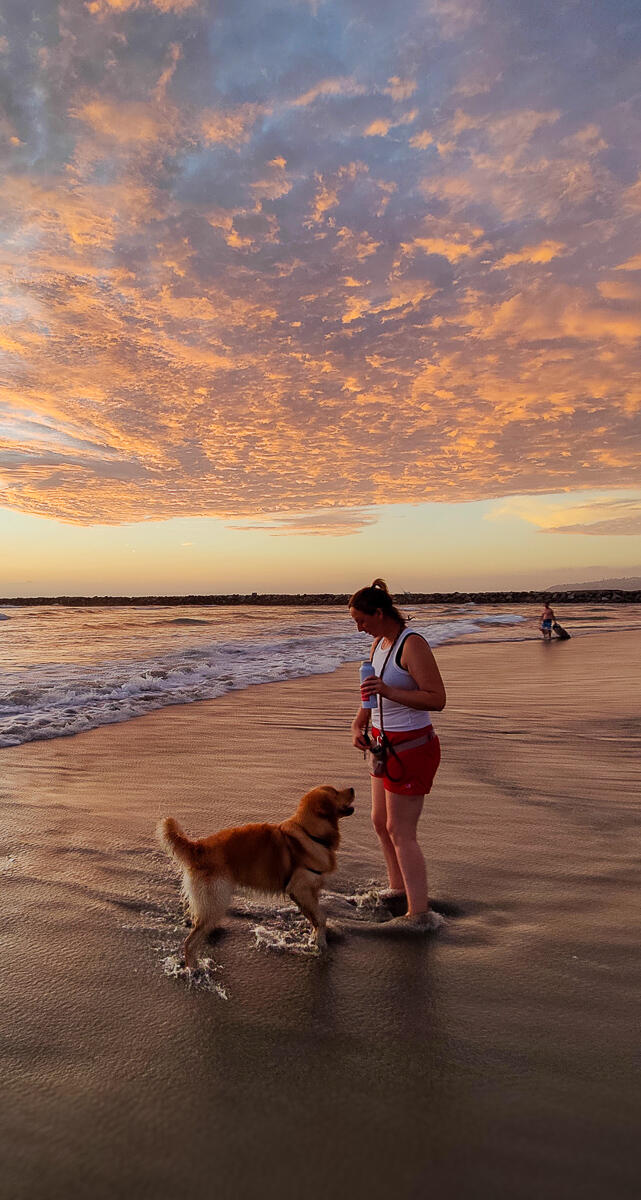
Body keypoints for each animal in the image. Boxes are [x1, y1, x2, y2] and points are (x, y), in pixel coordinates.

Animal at [157, 782, 357, 969]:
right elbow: (321, 918)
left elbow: (315, 918)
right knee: (190, 942)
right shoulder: (300, 889)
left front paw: (315, 938)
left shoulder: (307, 893)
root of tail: (199, 847)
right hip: (216, 898)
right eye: (335, 792)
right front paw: (321, 945)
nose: (353, 789)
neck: (310, 833)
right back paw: (194, 969)